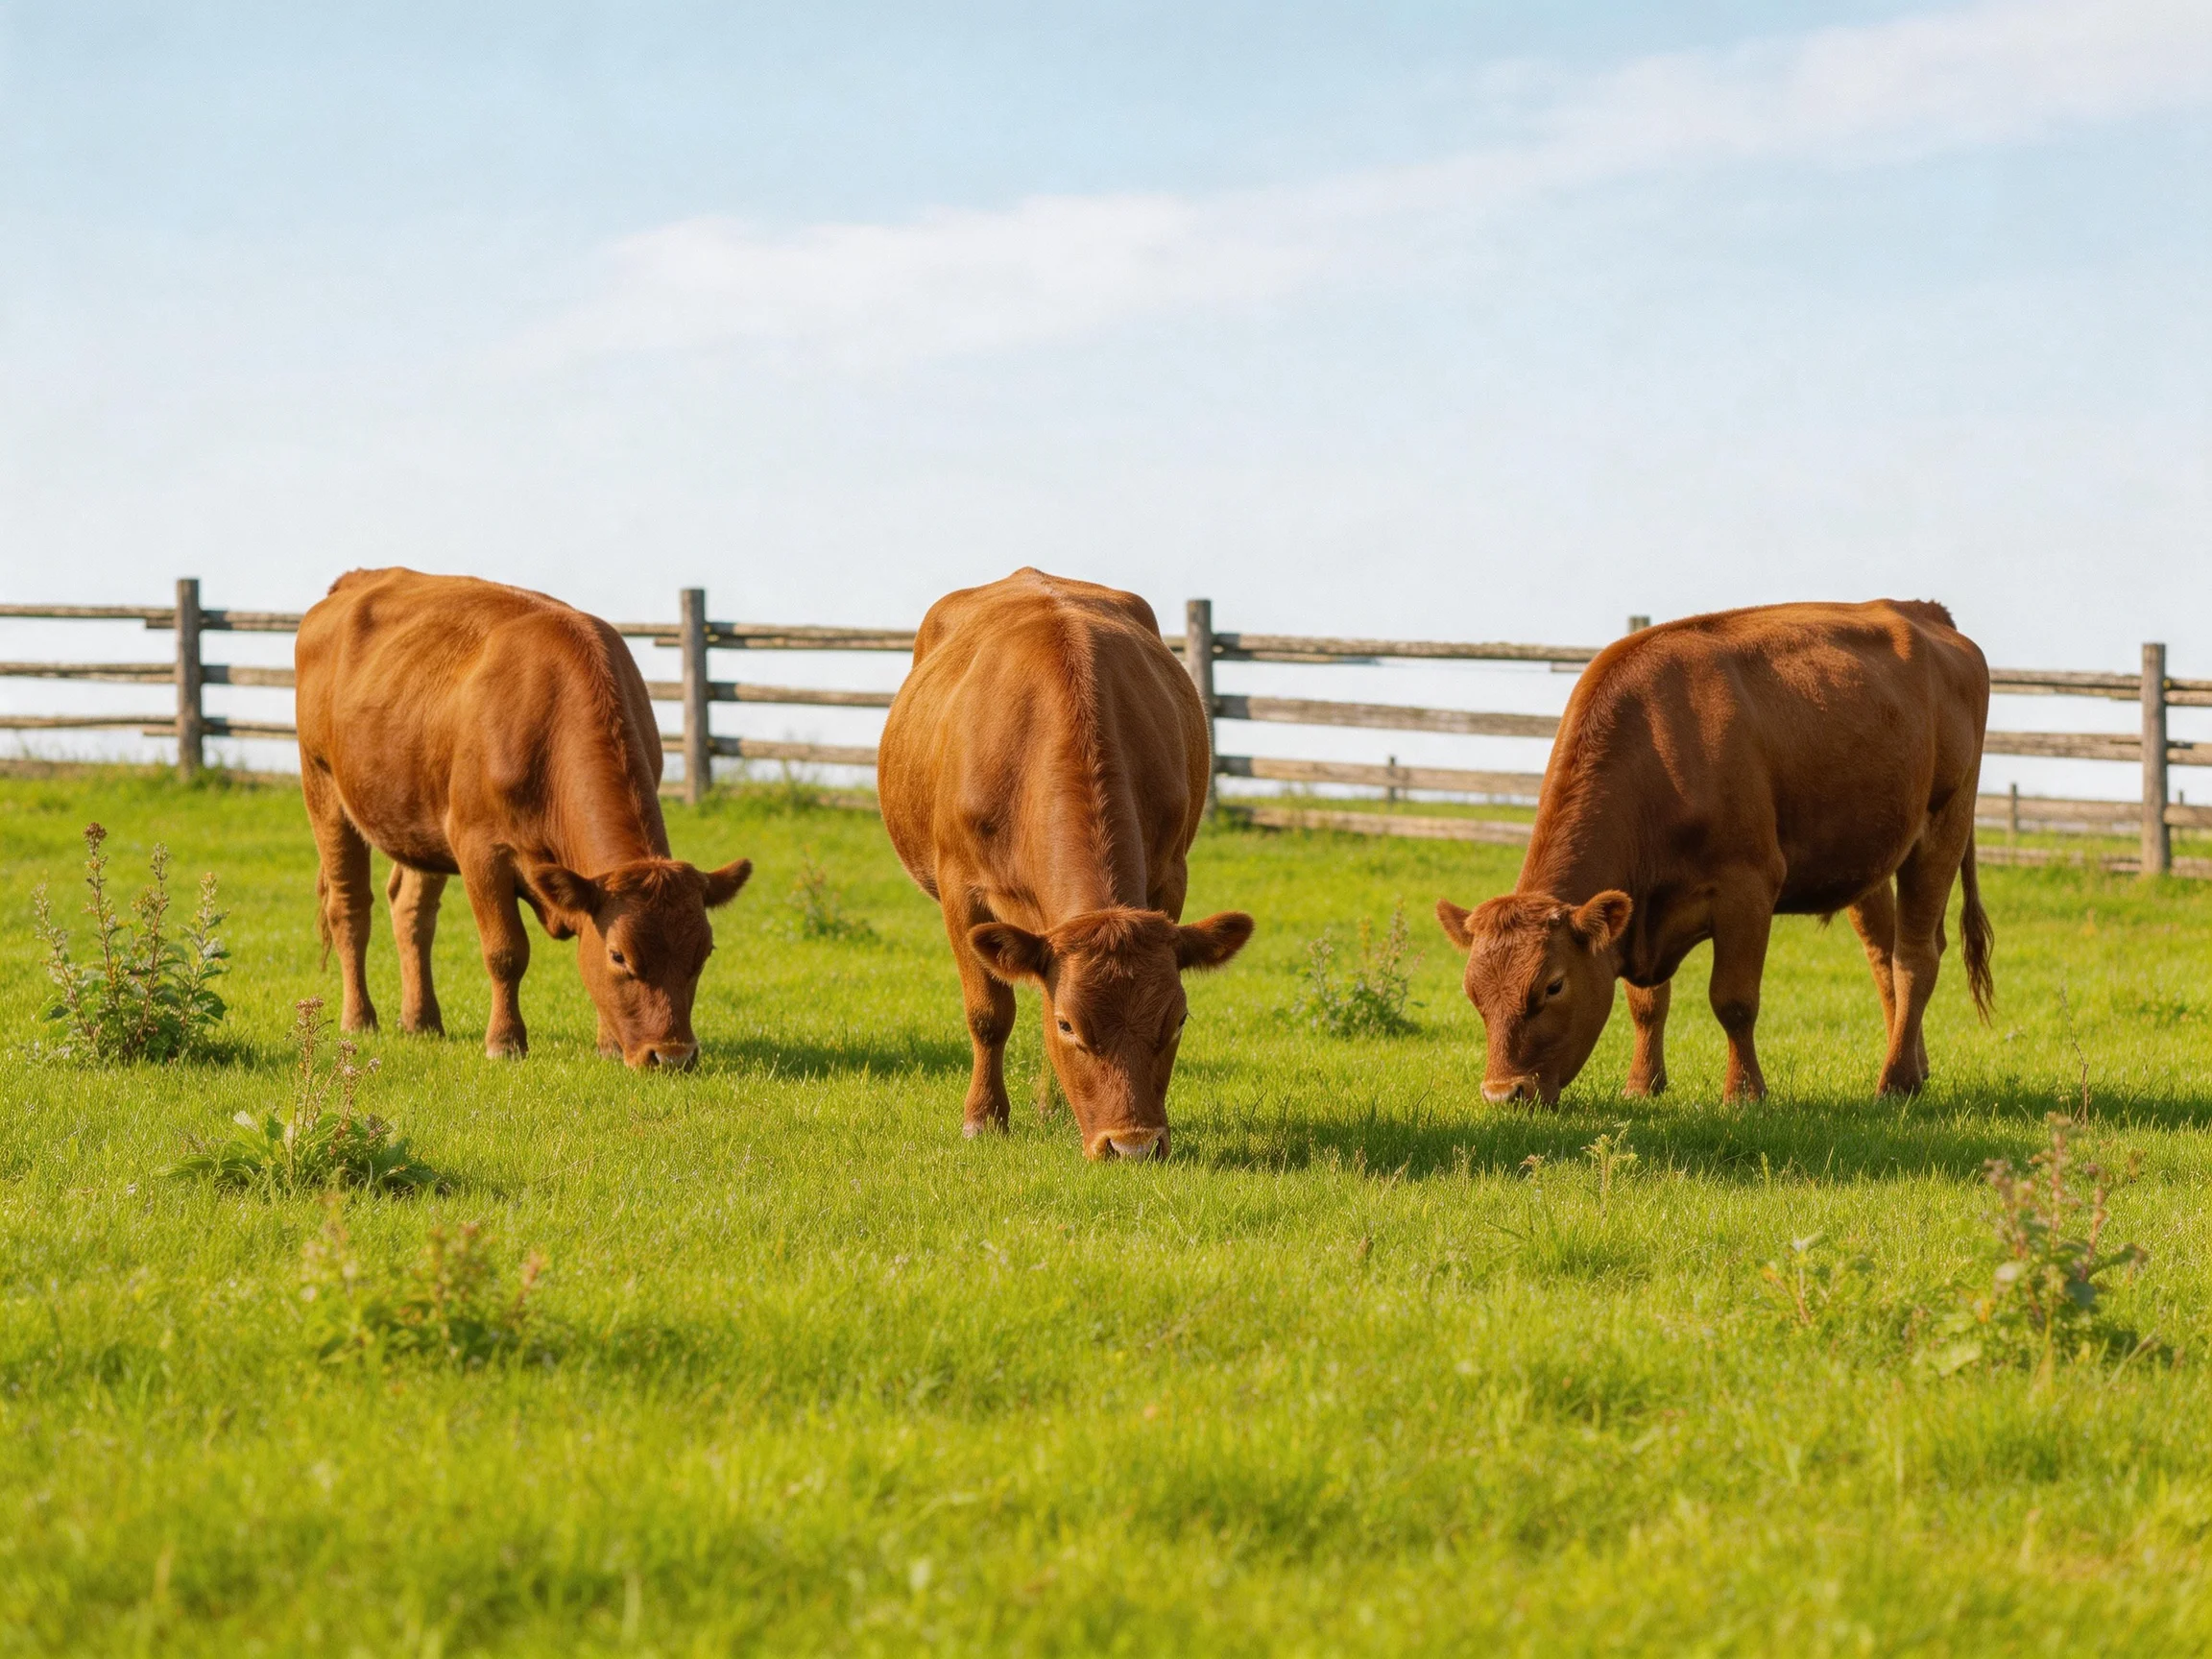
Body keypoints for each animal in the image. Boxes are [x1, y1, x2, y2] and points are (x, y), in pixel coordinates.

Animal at [294, 568, 751, 1068]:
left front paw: (609, 1046)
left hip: (418, 817)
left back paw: (421, 1021)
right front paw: (506, 1041)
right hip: (323, 788)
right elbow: (506, 951)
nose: (672, 1056)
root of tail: (355, 581)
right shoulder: (480, 849)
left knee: (411, 911)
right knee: (350, 909)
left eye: (703, 954)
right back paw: (359, 1018)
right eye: (619, 957)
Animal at [879, 569, 1254, 1160]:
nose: (1133, 1146)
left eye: (1177, 1019)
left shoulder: (1170, 878)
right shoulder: (962, 890)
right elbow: (989, 1014)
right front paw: (983, 1119)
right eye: (1070, 1025)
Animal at [1435, 600, 1992, 1105]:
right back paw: (1914, 1067)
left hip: (1944, 826)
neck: (1659, 746)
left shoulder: (1747, 889)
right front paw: (1643, 1085)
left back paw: (1895, 1082)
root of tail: (1923, 611)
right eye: (1473, 992)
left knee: (1914, 958)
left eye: (1552, 986)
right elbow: (1646, 1002)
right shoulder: (1638, 909)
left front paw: (1744, 1094)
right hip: (1868, 855)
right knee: (1883, 958)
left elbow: (1734, 1001)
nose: (1503, 1093)